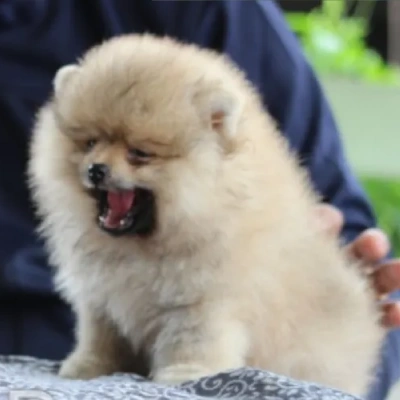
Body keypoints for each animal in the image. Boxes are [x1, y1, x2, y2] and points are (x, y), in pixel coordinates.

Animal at [28, 35, 384, 396]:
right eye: (90, 143)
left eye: (139, 153)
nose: (96, 169)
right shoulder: (102, 297)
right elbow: (100, 337)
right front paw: (87, 366)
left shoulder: (204, 298)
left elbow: (193, 339)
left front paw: (184, 374)